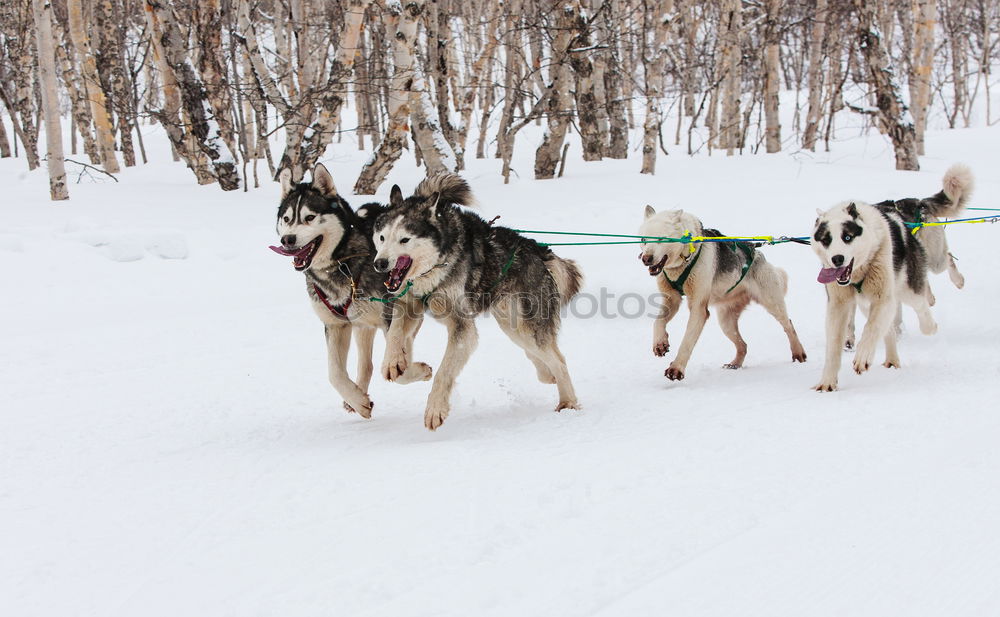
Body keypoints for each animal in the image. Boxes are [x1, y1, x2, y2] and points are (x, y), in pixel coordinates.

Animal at [640, 208, 804, 380]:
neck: (686, 256)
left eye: (661, 238)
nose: (646, 258)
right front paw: (660, 342)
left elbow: (687, 341)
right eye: (643, 239)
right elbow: (658, 322)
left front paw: (676, 368)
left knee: (789, 325)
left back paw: (798, 352)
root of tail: (758, 253)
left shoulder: (698, 308)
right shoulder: (672, 300)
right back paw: (735, 364)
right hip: (726, 322)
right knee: (743, 345)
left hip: (772, 304)